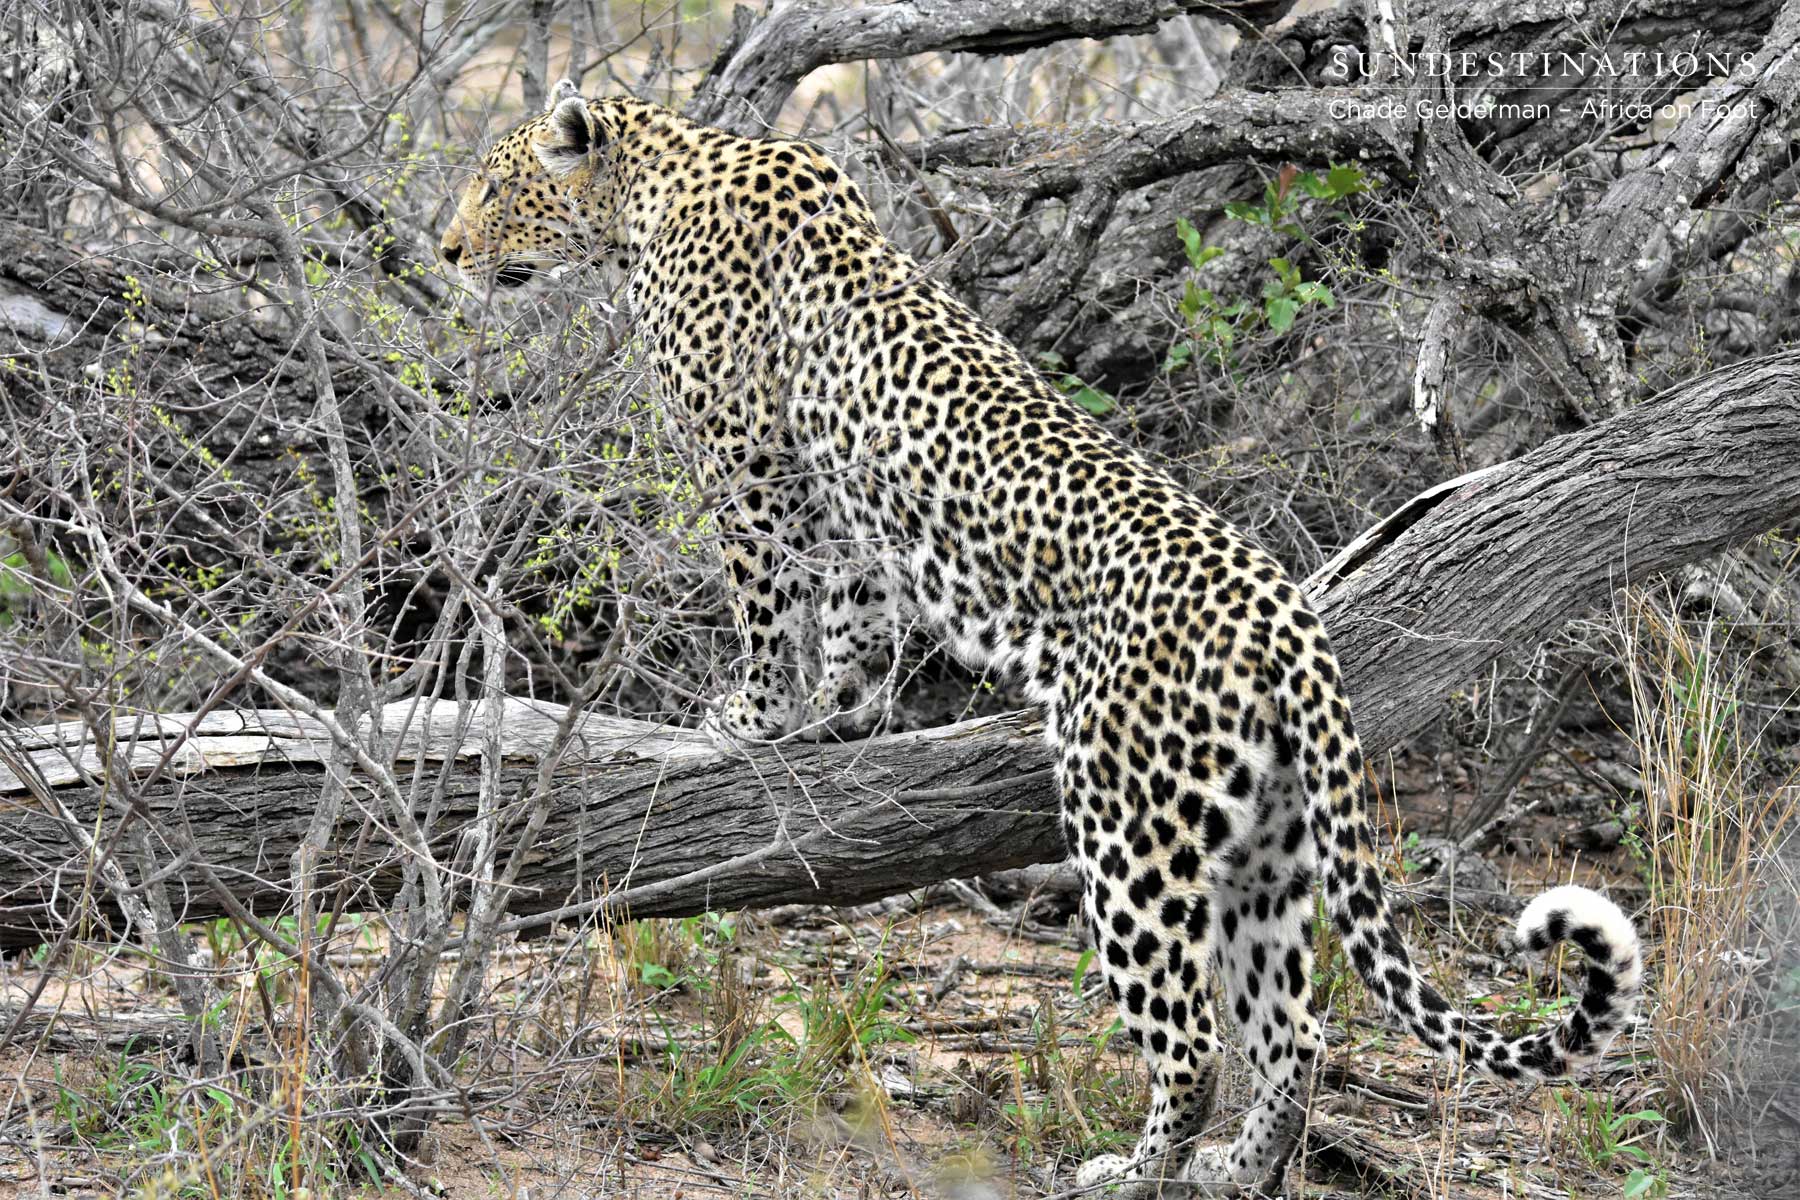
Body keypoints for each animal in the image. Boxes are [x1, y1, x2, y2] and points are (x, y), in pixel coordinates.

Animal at [439, 82, 1644, 1196]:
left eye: (494, 187)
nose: (446, 251)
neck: (659, 178)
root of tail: (1286, 614)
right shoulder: (845, 502)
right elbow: (856, 612)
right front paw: (843, 715)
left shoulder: (753, 466)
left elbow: (770, 602)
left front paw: (755, 716)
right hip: (1267, 848)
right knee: (1292, 1032)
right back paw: (1236, 1170)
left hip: (1129, 830)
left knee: (1193, 1039)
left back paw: (1133, 1172)